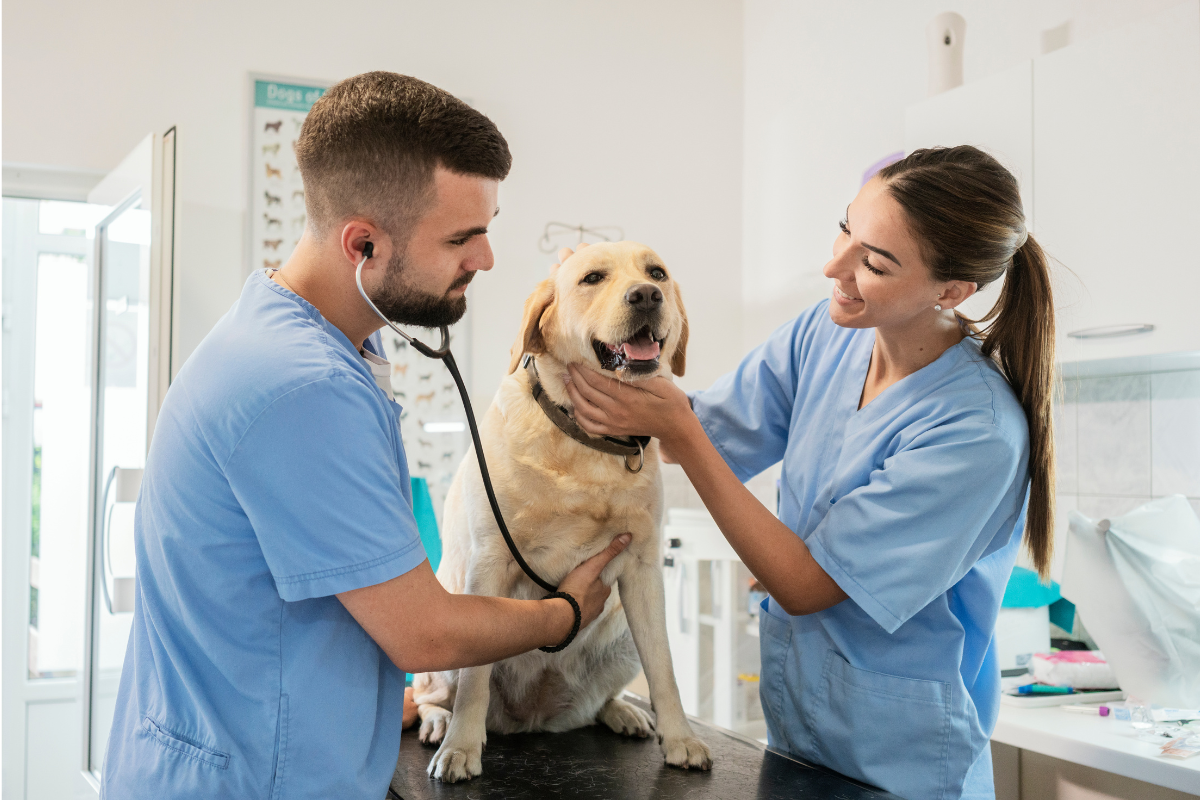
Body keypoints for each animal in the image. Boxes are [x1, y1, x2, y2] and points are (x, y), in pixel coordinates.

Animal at [412, 239, 710, 782]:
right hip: (440, 635)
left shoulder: (642, 569)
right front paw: (461, 747)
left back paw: (621, 712)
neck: (586, 443)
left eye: (656, 271)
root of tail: (530, 717)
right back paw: (438, 723)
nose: (647, 295)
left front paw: (681, 738)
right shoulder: (490, 562)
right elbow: (474, 680)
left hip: (621, 637)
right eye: (592, 278)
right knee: (433, 691)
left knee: (599, 701)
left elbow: (665, 669)